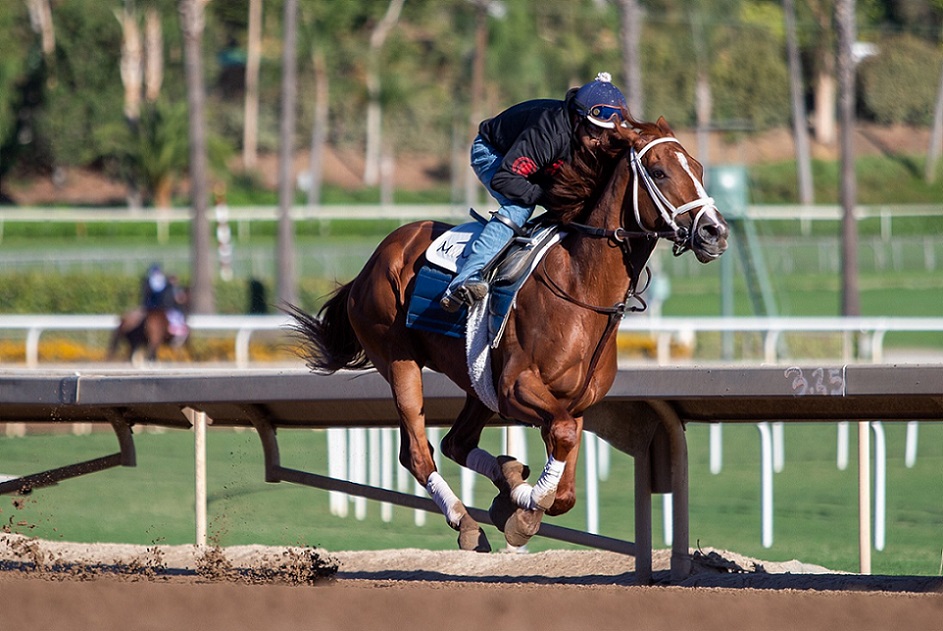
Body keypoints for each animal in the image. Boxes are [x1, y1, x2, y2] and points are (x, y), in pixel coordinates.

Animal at [288, 116, 732, 552]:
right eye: (659, 171)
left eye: (699, 168)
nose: (715, 231)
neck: (581, 289)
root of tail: (376, 259)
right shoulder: (516, 386)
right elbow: (560, 443)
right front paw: (522, 508)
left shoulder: (574, 403)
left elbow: (566, 484)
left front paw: (515, 496)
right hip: (400, 359)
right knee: (417, 452)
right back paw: (466, 520)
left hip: (476, 379)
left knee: (456, 443)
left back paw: (507, 474)